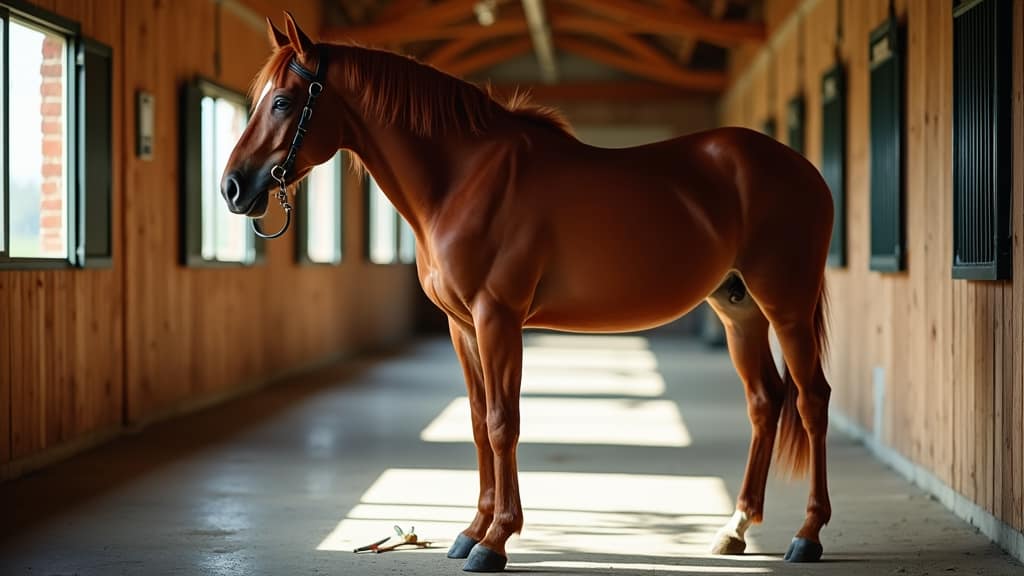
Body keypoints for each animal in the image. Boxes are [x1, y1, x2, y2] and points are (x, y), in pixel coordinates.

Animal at [222, 13, 835, 572]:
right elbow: (476, 421)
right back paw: (735, 527)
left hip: (787, 308)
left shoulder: (498, 318)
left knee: (811, 400)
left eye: (282, 102)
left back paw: (808, 535)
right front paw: (471, 531)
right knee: (765, 402)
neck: (464, 180)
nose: (232, 187)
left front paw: (495, 541)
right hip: (739, 311)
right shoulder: (463, 326)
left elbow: (503, 423)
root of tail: (803, 169)